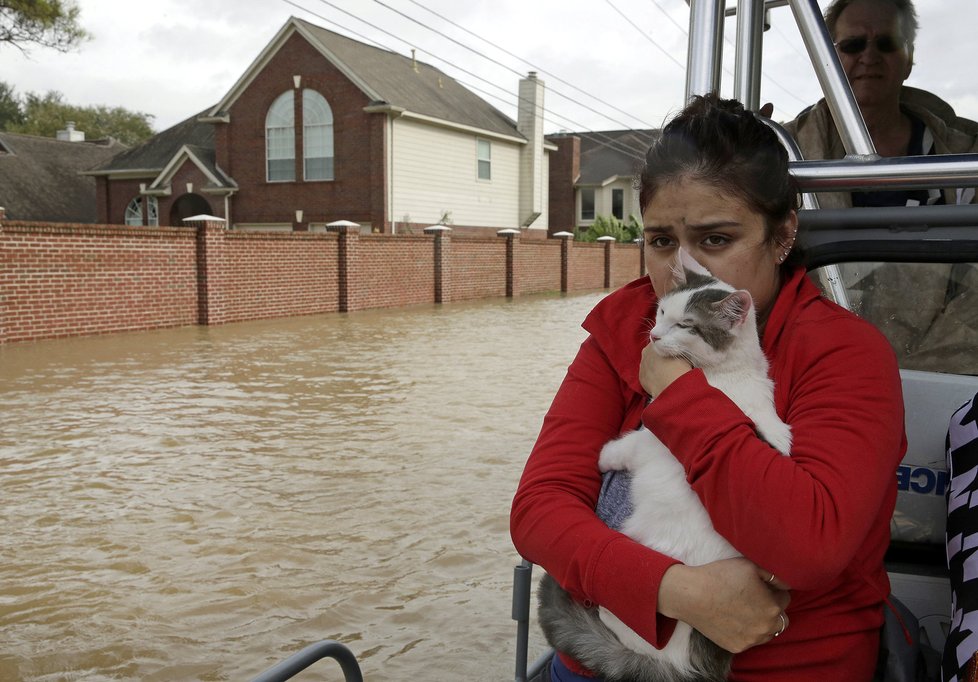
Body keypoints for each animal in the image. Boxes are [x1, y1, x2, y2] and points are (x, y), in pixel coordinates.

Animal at [536, 250, 788, 680]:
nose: (654, 336)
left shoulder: (651, 440)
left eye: (685, 325)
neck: (723, 373)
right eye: (662, 311)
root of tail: (686, 664)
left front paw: (604, 455)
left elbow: (626, 446)